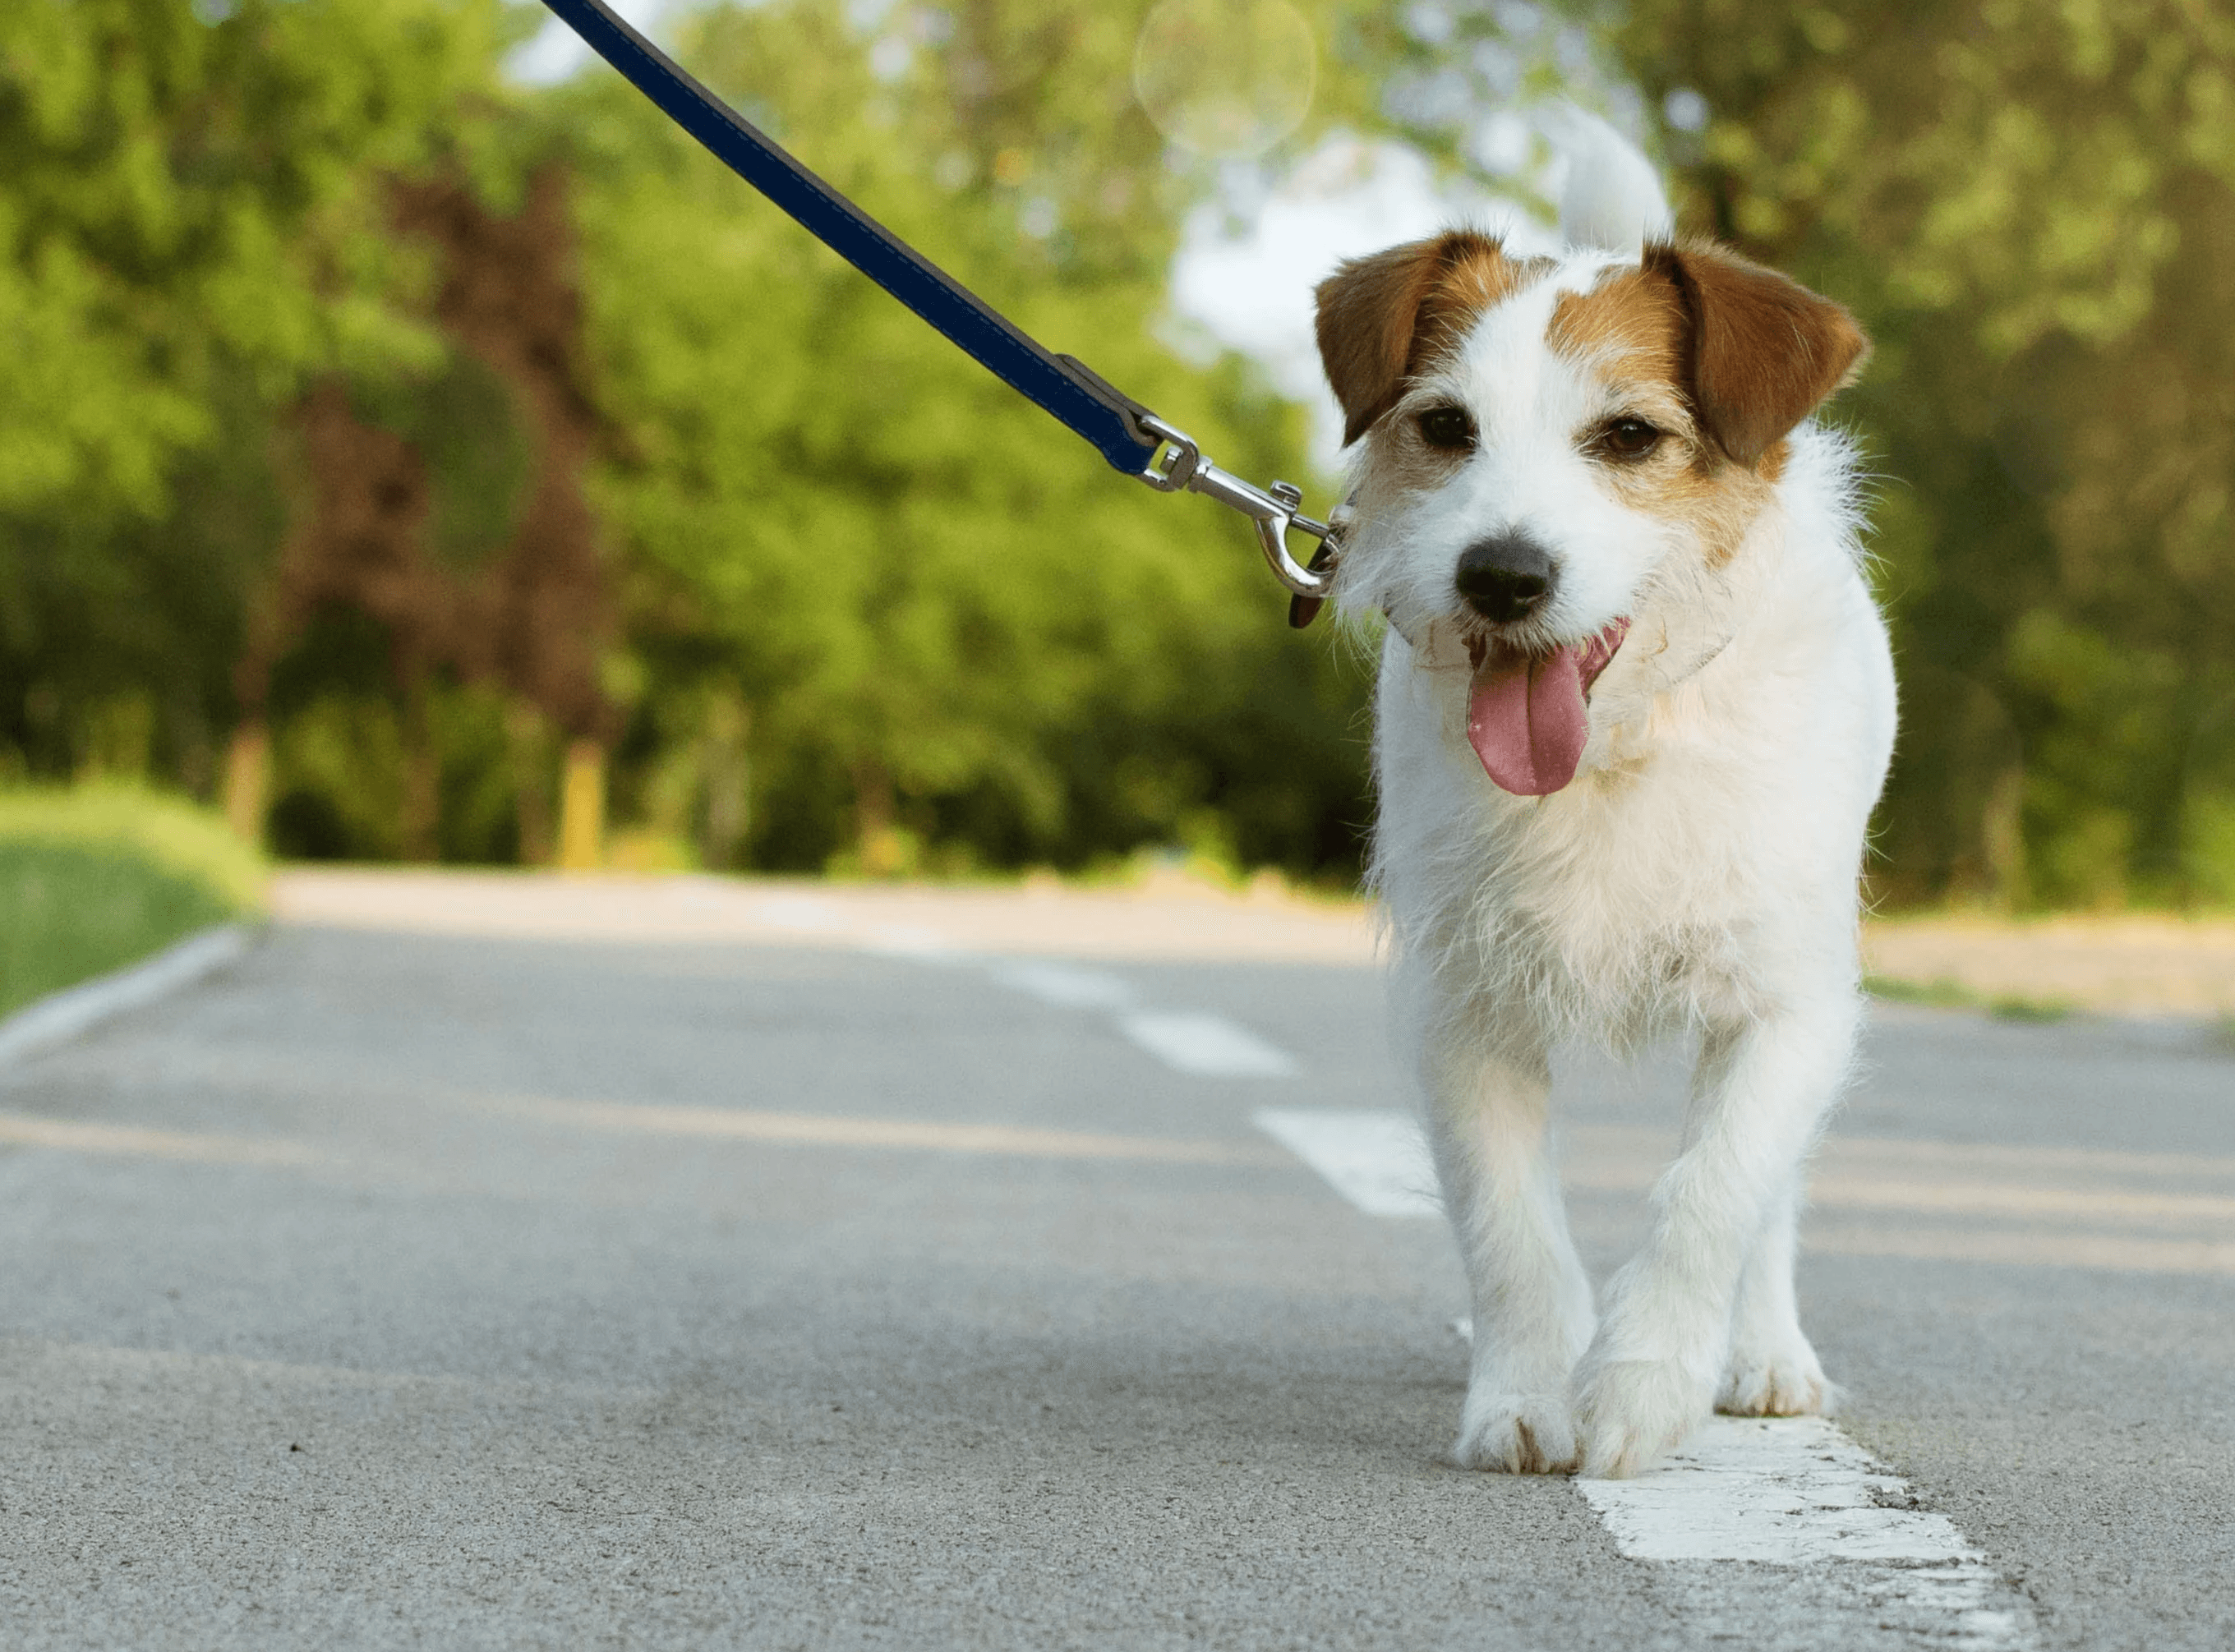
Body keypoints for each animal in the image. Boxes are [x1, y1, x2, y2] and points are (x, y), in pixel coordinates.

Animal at [1305, 126, 1904, 1475]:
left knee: (1771, 1199)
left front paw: (1640, 1388)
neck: (1620, 746)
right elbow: (1506, 1220)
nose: (1502, 575)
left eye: (1629, 437)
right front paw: (1525, 1396)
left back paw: (1763, 1353)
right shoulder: (1462, 1011)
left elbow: (1714, 1193)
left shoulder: (1785, 1004)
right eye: (1446, 426)